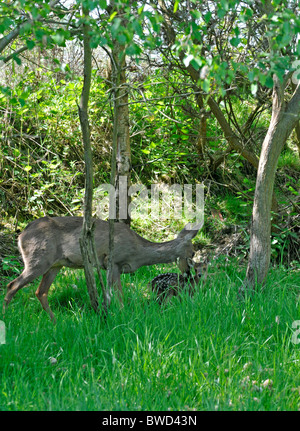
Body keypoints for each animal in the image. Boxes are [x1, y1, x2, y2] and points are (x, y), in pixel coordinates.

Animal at [3, 218, 200, 322]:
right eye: (192, 253)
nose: (189, 274)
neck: (138, 252)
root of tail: (21, 236)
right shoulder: (114, 262)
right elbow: (118, 295)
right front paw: (123, 315)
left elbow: (109, 294)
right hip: (38, 259)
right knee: (12, 285)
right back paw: (6, 318)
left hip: (55, 265)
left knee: (40, 291)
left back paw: (55, 321)